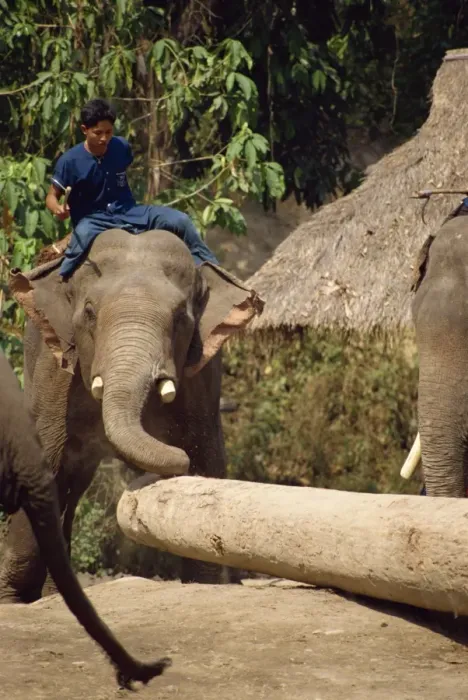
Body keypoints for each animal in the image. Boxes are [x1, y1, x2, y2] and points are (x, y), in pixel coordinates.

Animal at [1, 227, 262, 602]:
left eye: (181, 318)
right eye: (89, 312)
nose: (175, 458)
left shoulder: (202, 376)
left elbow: (208, 460)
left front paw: (205, 583)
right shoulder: (56, 369)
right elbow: (45, 460)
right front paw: (12, 600)